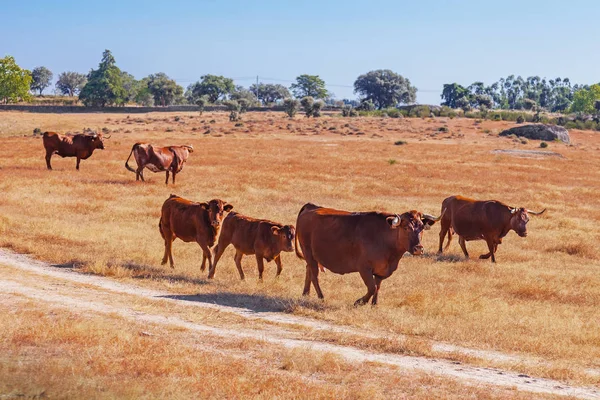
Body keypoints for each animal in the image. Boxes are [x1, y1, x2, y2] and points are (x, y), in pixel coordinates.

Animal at [294, 205, 440, 304]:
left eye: (421, 228)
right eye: (406, 228)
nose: (418, 249)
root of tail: (311, 207)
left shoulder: (382, 270)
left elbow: (378, 286)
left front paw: (374, 304)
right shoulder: (364, 268)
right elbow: (372, 287)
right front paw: (359, 302)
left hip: (311, 257)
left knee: (308, 271)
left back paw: (305, 293)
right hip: (308, 252)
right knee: (314, 275)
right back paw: (321, 297)